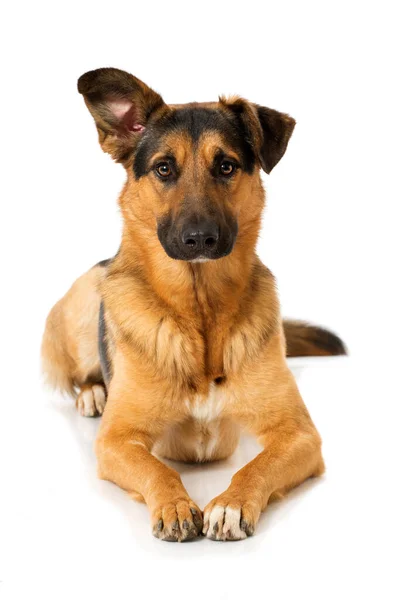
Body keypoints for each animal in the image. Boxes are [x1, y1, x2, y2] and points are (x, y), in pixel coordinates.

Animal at [41, 68, 346, 540]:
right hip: (85, 300)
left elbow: (257, 466)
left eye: (226, 166)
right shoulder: (116, 440)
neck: (200, 312)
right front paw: (175, 505)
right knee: (80, 373)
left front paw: (232, 503)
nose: (200, 238)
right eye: (164, 168)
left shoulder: (298, 434)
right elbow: (157, 469)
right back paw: (93, 393)